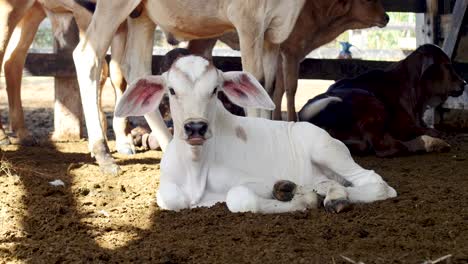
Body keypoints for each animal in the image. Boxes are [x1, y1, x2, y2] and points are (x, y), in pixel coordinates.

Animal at [115, 56, 396, 214]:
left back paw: (331, 198)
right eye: (171, 90)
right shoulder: (168, 188)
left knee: (377, 184)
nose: (195, 127)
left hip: (328, 152)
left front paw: (302, 198)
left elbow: (238, 198)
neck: (197, 167)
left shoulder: (255, 182)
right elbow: (171, 199)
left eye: (215, 90)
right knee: (329, 182)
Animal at [298, 43, 466, 157]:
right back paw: (428, 144)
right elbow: (433, 131)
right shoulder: (403, 126)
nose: (464, 83)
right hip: (373, 103)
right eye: (447, 66)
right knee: (386, 147)